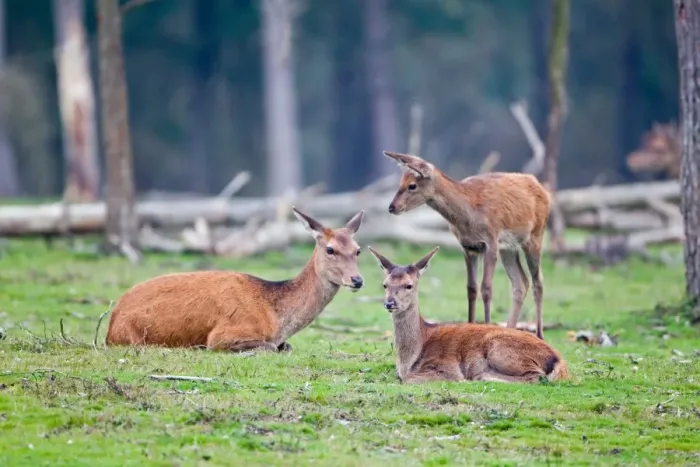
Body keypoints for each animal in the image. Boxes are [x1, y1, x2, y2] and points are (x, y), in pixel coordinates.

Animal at [105, 207, 366, 352]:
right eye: (330, 249)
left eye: (358, 250)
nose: (357, 280)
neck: (277, 318)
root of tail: (111, 323)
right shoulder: (223, 334)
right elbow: (269, 347)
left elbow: (285, 347)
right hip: (133, 337)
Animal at [367, 245, 569, 384]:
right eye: (385, 284)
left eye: (409, 285)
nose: (390, 303)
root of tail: (557, 359)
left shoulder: (446, 366)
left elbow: (409, 379)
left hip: (500, 349)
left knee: (536, 376)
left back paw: (481, 376)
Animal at [383, 150, 551, 340]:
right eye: (400, 182)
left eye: (412, 185)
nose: (392, 207)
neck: (469, 214)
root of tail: (542, 188)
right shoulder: (468, 247)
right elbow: (471, 288)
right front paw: (471, 326)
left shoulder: (490, 242)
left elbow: (486, 288)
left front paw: (487, 326)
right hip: (509, 247)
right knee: (521, 282)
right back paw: (511, 330)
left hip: (535, 235)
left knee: (538, 281)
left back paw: (539, 335)